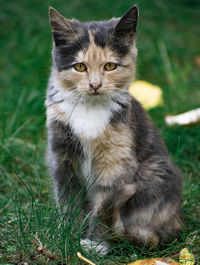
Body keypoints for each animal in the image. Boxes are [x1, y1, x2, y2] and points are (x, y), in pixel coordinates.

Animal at [45, 5, 183, 254]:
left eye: (110, 66)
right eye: (79, 66)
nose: (95, 84)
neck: (89, 110)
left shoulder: (117, 163)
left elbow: (104, 206)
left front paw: (96, 244)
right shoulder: (61, 157)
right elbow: (68, 201)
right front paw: (65, 236)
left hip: (155, 172)